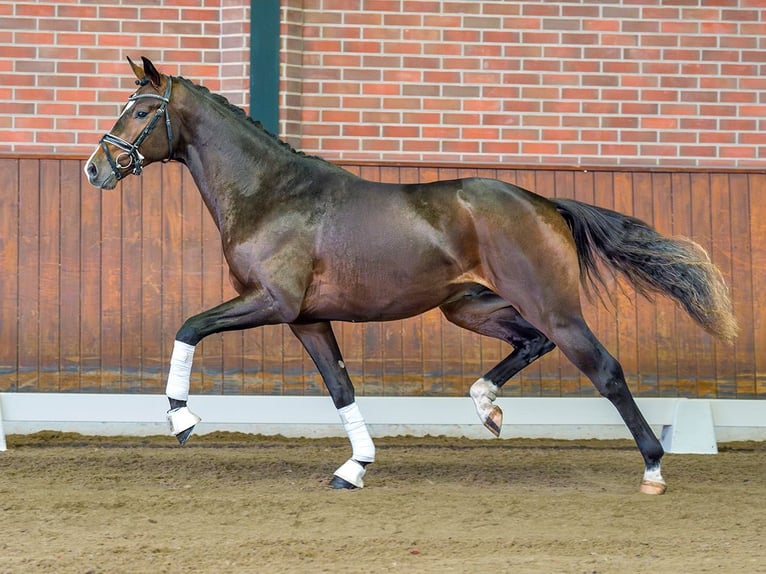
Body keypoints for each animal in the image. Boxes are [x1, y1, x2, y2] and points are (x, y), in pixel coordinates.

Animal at [84, 57, 736, 496]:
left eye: (140, 110)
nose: (96, 168)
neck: (272, 194)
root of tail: (543, 202)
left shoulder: (269, 302)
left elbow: (188, 327)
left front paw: (182, 419)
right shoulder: (308, 319)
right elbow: (341, 388)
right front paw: (355, 468)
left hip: (551, 305)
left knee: (604, 368)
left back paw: (652, 468)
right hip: (470, 306)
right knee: (532, 342)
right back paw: (486, 407)